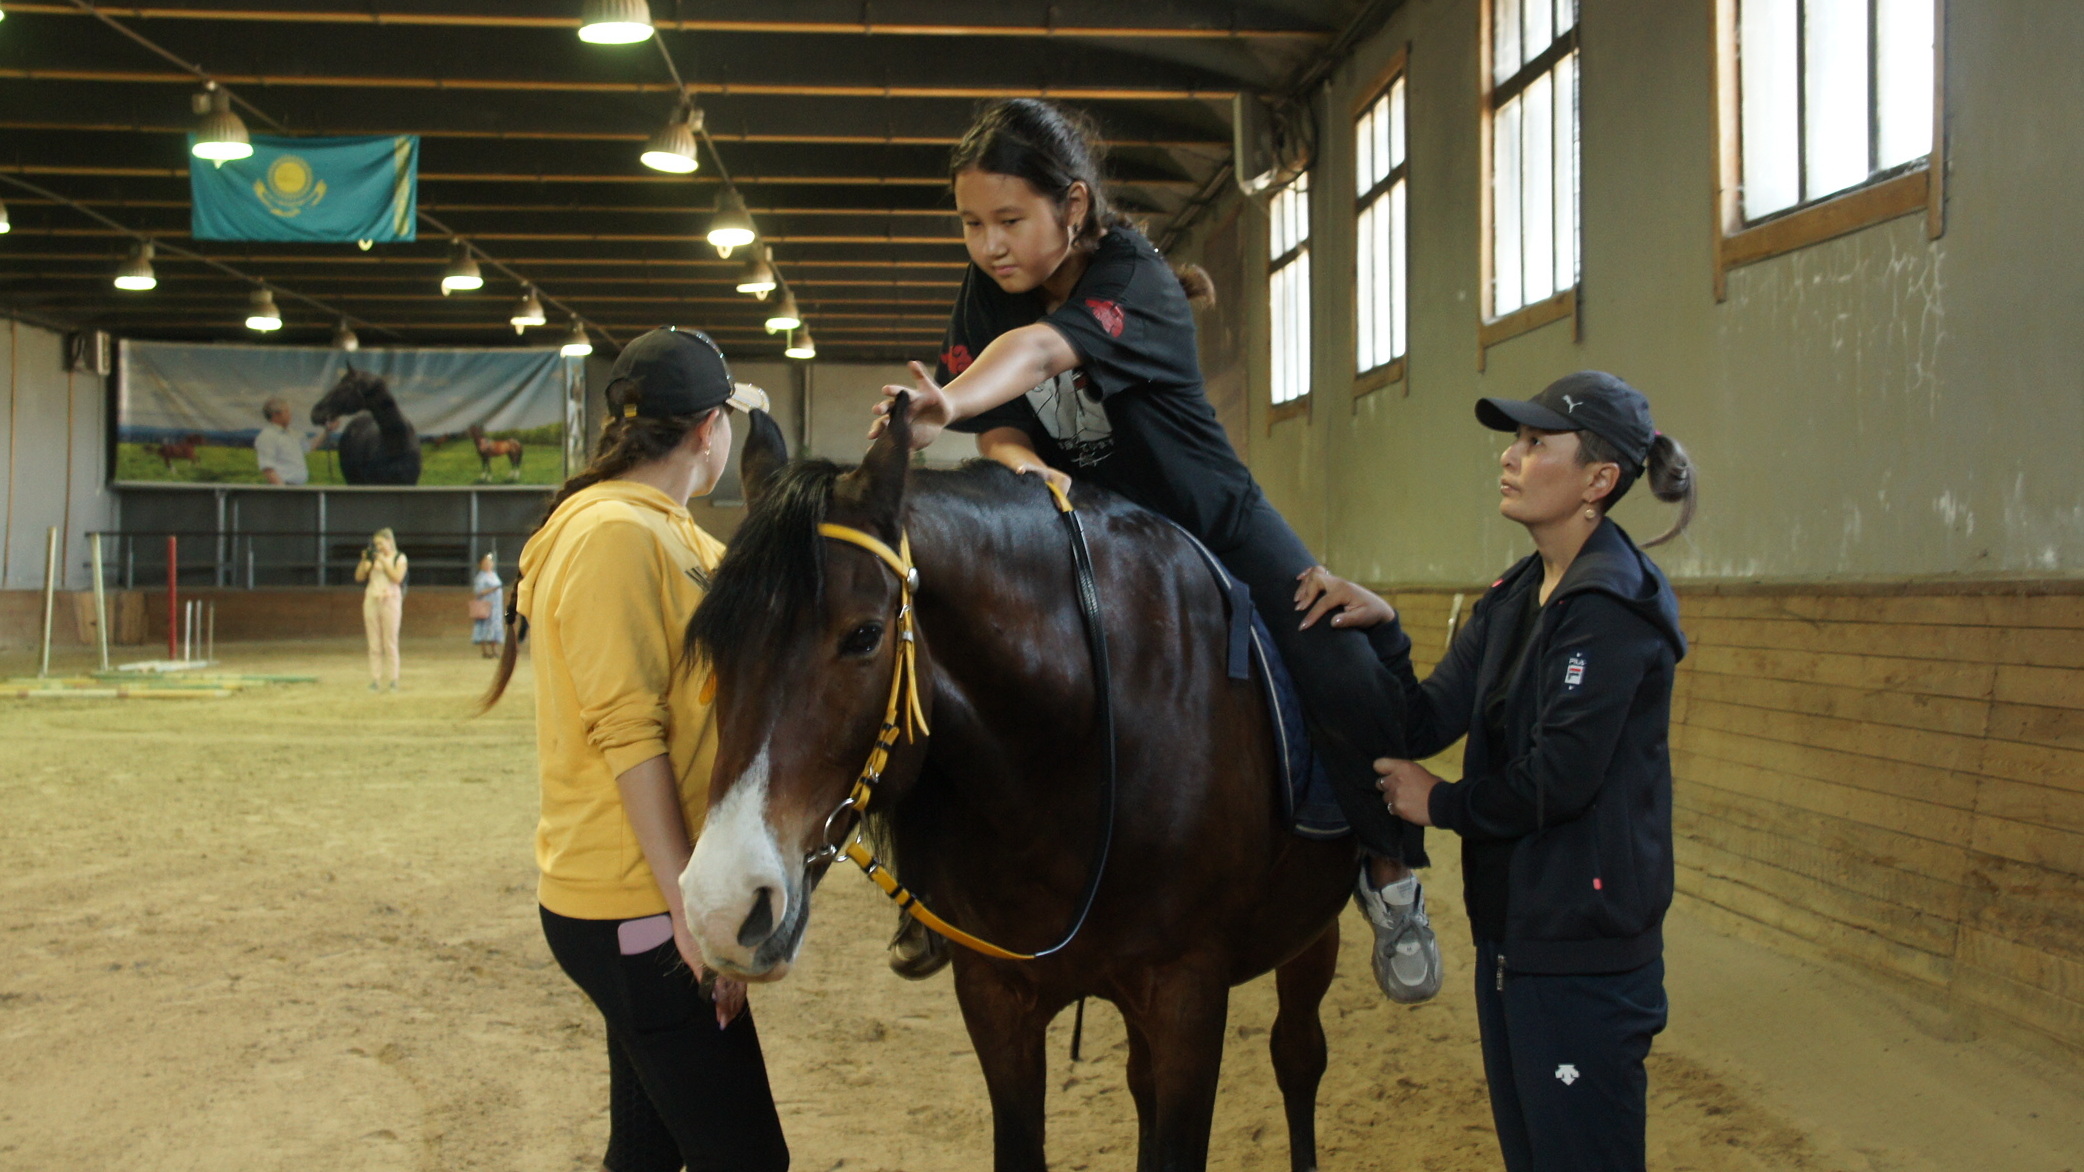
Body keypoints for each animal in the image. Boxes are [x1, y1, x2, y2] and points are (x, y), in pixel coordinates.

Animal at [683, 396, 1358, 1159]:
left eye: (863, 636)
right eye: (715, 642)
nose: (719, 908)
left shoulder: (1189, 995)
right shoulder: (996, 997)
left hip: (1308, 933)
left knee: (1297, 1056)